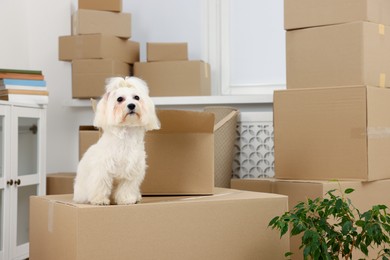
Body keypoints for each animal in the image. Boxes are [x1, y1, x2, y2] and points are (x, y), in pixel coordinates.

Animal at [73, 76, 160, 204]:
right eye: (120, 99)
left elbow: (127, 187)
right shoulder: (102, 169)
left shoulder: (132, 170)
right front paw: (100, 200)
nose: (131, 105)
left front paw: (127, 199)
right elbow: (100, 184)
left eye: (136, 97)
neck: (126, 136)